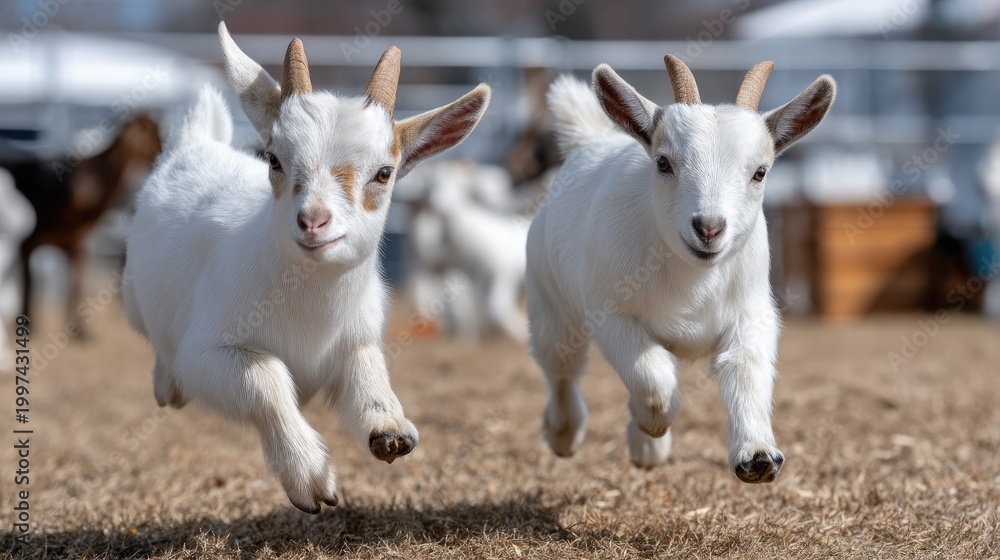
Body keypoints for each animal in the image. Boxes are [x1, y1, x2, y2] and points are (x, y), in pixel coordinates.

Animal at [2, 115, 161, 336]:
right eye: (152, 132)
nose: (164, 151)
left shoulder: (76, 243)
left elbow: (76, 285)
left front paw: (80, 331)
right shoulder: (29, 242)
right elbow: (28, 283)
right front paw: (29, 327)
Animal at [123, 23, 490, 513]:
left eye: (384, 172)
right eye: (274, 159)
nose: (313, 221)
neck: (310, 305)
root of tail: (196, 142)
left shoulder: (356, 338)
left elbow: (369, 372)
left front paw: (390, 430)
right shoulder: (206, 353)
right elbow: (267, 380)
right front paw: (310, 478)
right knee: (162, 349)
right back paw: (168, 388)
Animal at [527, 56, 834, 482]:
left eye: (760, 172)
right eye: (663, 162)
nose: (708, 228)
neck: (693, 279)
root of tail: (588, 140)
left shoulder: (752, 314)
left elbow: (746, 370)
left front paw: (757, 456)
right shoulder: (611, 316)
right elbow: (654, 379)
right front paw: (651, 424)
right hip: (550, 307)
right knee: (560, 369)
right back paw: (566, 435)